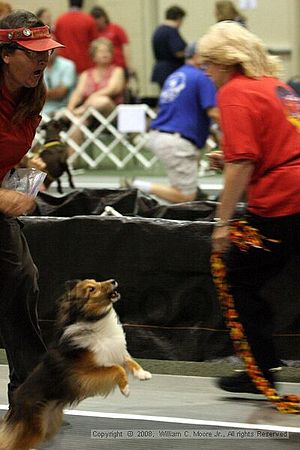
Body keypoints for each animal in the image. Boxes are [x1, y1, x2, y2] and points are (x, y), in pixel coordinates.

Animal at [0, 278, 151, 450]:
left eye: (96, 281)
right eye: (91, 289)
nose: (113, 281)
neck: (94, 321)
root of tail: (15, 402)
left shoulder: (114, 350)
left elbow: (129, 361)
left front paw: (143, 374)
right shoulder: (83, 375)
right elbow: (117, 368)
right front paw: (125, 389)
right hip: (32, 428)